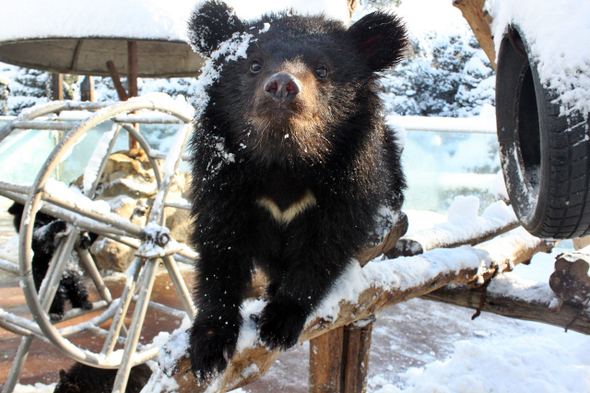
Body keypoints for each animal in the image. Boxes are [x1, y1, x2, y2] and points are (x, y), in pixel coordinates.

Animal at [188, 0, 408, 380]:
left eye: (322, 70)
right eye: (254, 64)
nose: (282, 85)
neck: (285, 159)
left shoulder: (351, 180)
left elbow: (326, 246)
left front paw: (279, 322)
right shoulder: (222, 177)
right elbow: (220, 243)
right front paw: (209, 346)